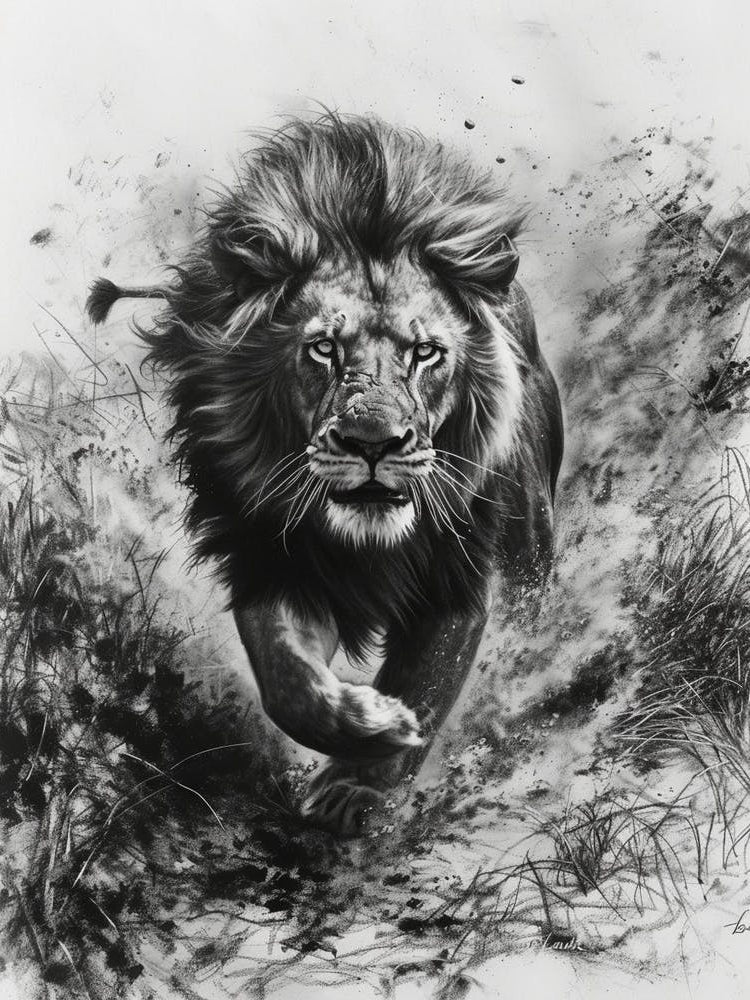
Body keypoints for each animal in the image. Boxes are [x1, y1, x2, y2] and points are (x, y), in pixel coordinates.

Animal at [87, 113, 564, 835]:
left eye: (426, 353)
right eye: (323, 348)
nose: (373, 443)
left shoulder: (456, 575)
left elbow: (430, 678)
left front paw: (361, 786)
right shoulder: (273, 556)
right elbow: (286, 678)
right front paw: (369, 723)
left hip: (531, 538)